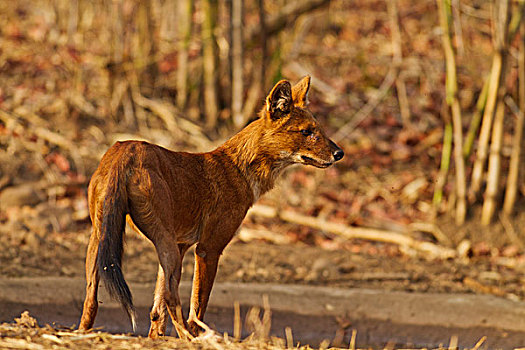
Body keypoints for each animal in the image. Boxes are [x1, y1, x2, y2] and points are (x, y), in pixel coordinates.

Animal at [77, 76, 344, 336]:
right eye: (306, 132)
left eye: (320, 130)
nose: (339, 153)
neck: (239, 169)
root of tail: (125, 149)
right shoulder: (208, 248)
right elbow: (197, 306)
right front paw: (195, 334)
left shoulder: (182, 244)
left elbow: (157, 311)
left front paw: (156, 340)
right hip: (163, 241)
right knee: (173, 299)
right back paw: (187, 337)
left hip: (101, 238)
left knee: (91, 299)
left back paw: (82, 333)